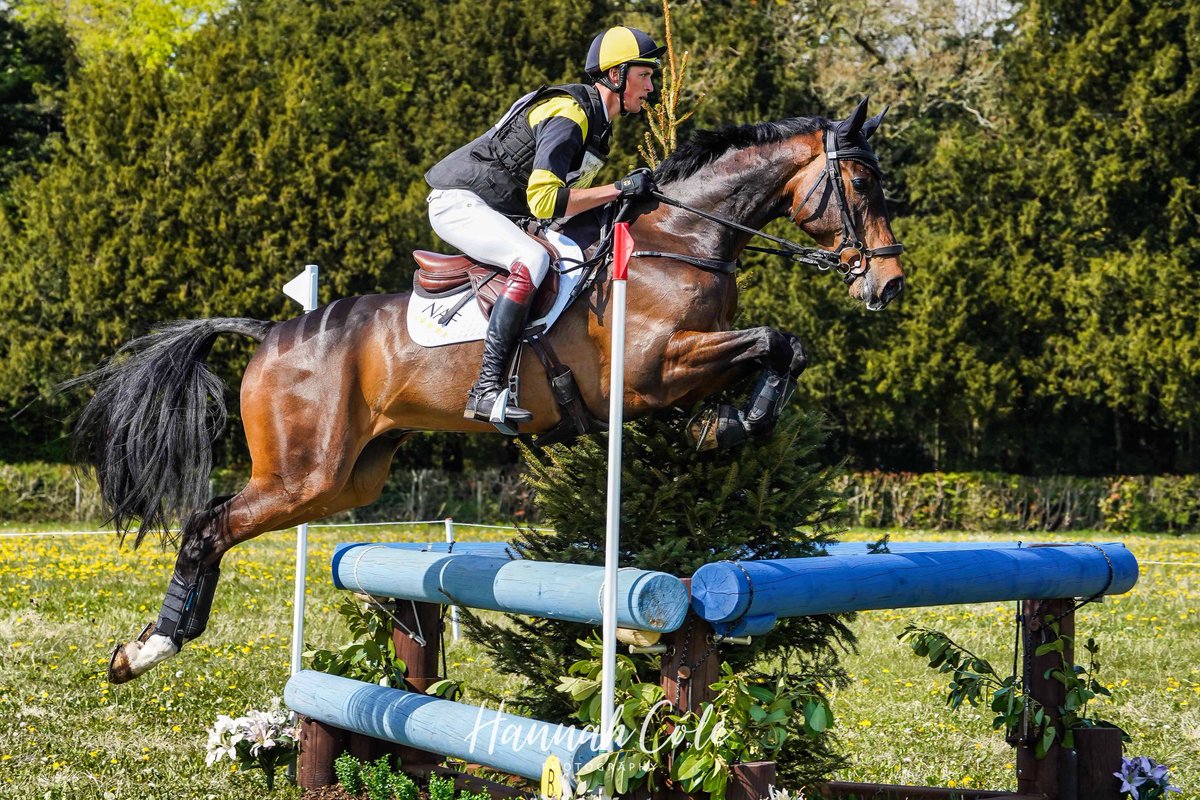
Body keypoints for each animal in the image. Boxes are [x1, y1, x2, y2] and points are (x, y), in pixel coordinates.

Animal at [73, 97, 904, 684]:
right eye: (862, 183)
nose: (889, 286)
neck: (680, 242)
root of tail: (273, 332)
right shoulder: (652, 369)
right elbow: (776, 341)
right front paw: (730, 424)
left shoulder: (681, 367)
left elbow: (781, 349)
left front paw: (717, 426)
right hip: (301, 472)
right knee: (206, 524)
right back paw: (146, 650)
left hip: (344, 478)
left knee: (230, 518)